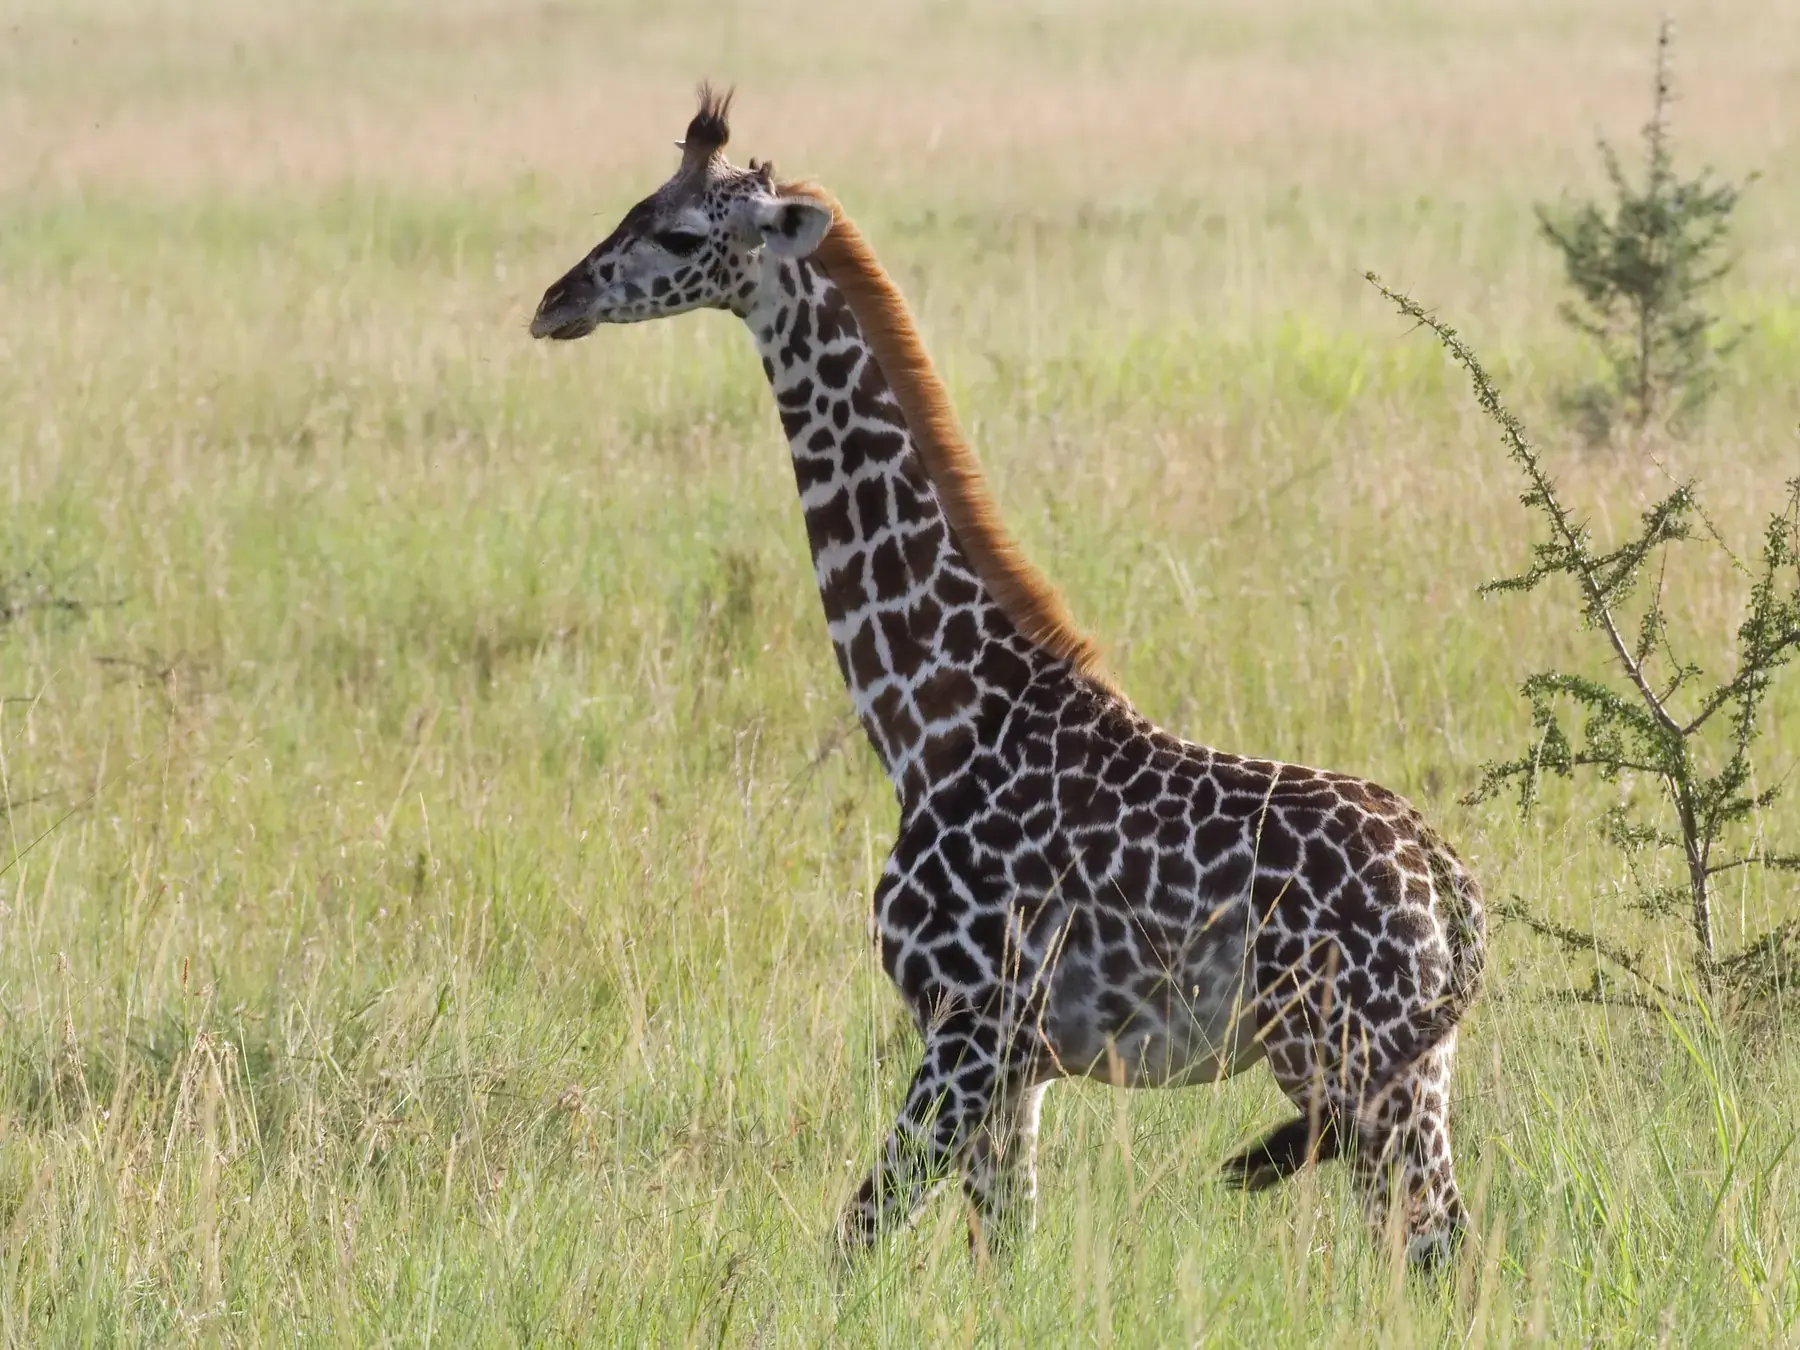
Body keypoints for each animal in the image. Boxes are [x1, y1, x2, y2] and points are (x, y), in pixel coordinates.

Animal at [531, 87, 1487, 1270]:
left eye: (675, 234)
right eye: (635, 204)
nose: (556, 301)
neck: (930, 717)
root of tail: (1450, 878)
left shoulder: (966, 1028)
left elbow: (857, 1236)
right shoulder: (1020, 1065)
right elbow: (1004, 1252)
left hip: (1355, 1064)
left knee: (1441, 1247)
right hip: (1400, 1069)